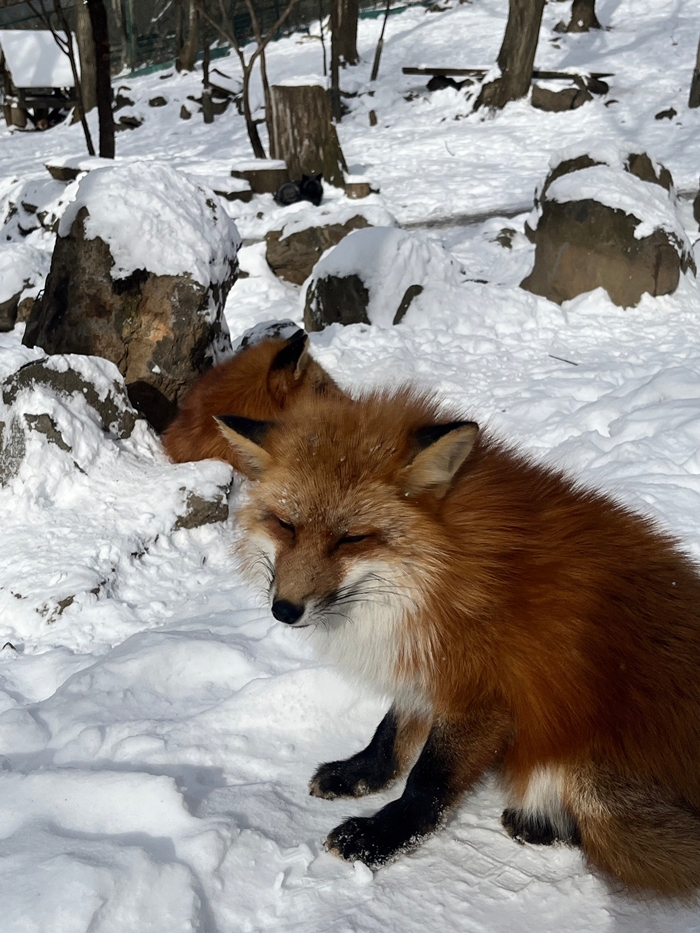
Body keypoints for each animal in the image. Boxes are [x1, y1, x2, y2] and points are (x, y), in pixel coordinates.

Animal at [219, 388, 700, 896]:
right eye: (285, 525)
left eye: (351, 539)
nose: (284, 610)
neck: (442, 573)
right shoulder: (422, 665)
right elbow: (389, 734)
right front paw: (360, 775)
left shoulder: (483, 694)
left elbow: (427, 781)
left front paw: (379, 838)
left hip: (599, 791)